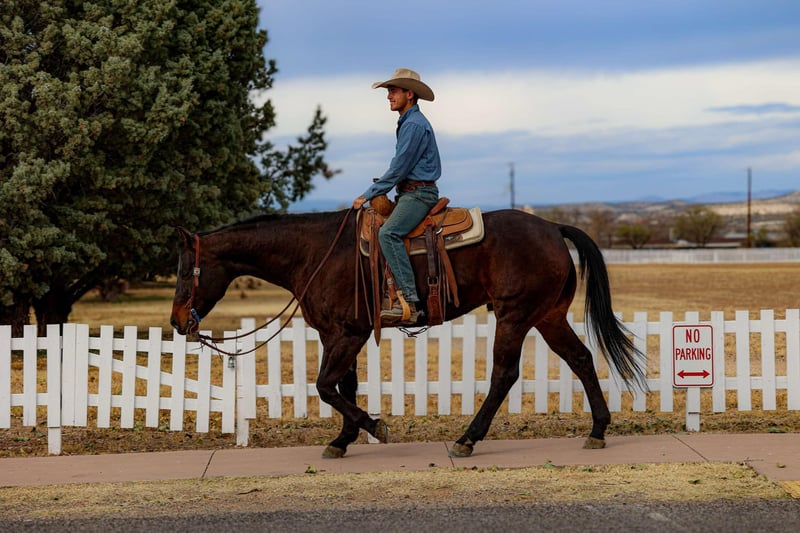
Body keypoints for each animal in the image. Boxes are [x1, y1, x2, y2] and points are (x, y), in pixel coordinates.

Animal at [170, 208, 646, 458]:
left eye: (184, 270)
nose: (177, 322)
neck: (314, 253)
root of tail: (552, 227)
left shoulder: (347, 334)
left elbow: (325, 386)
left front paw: (373, 427)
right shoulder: (340, 334)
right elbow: (343, 385)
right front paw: (343, 439)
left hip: (515, 317)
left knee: (504, 376)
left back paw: (467, 439)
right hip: (548, 316)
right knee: (581, 359)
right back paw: (598, 430)